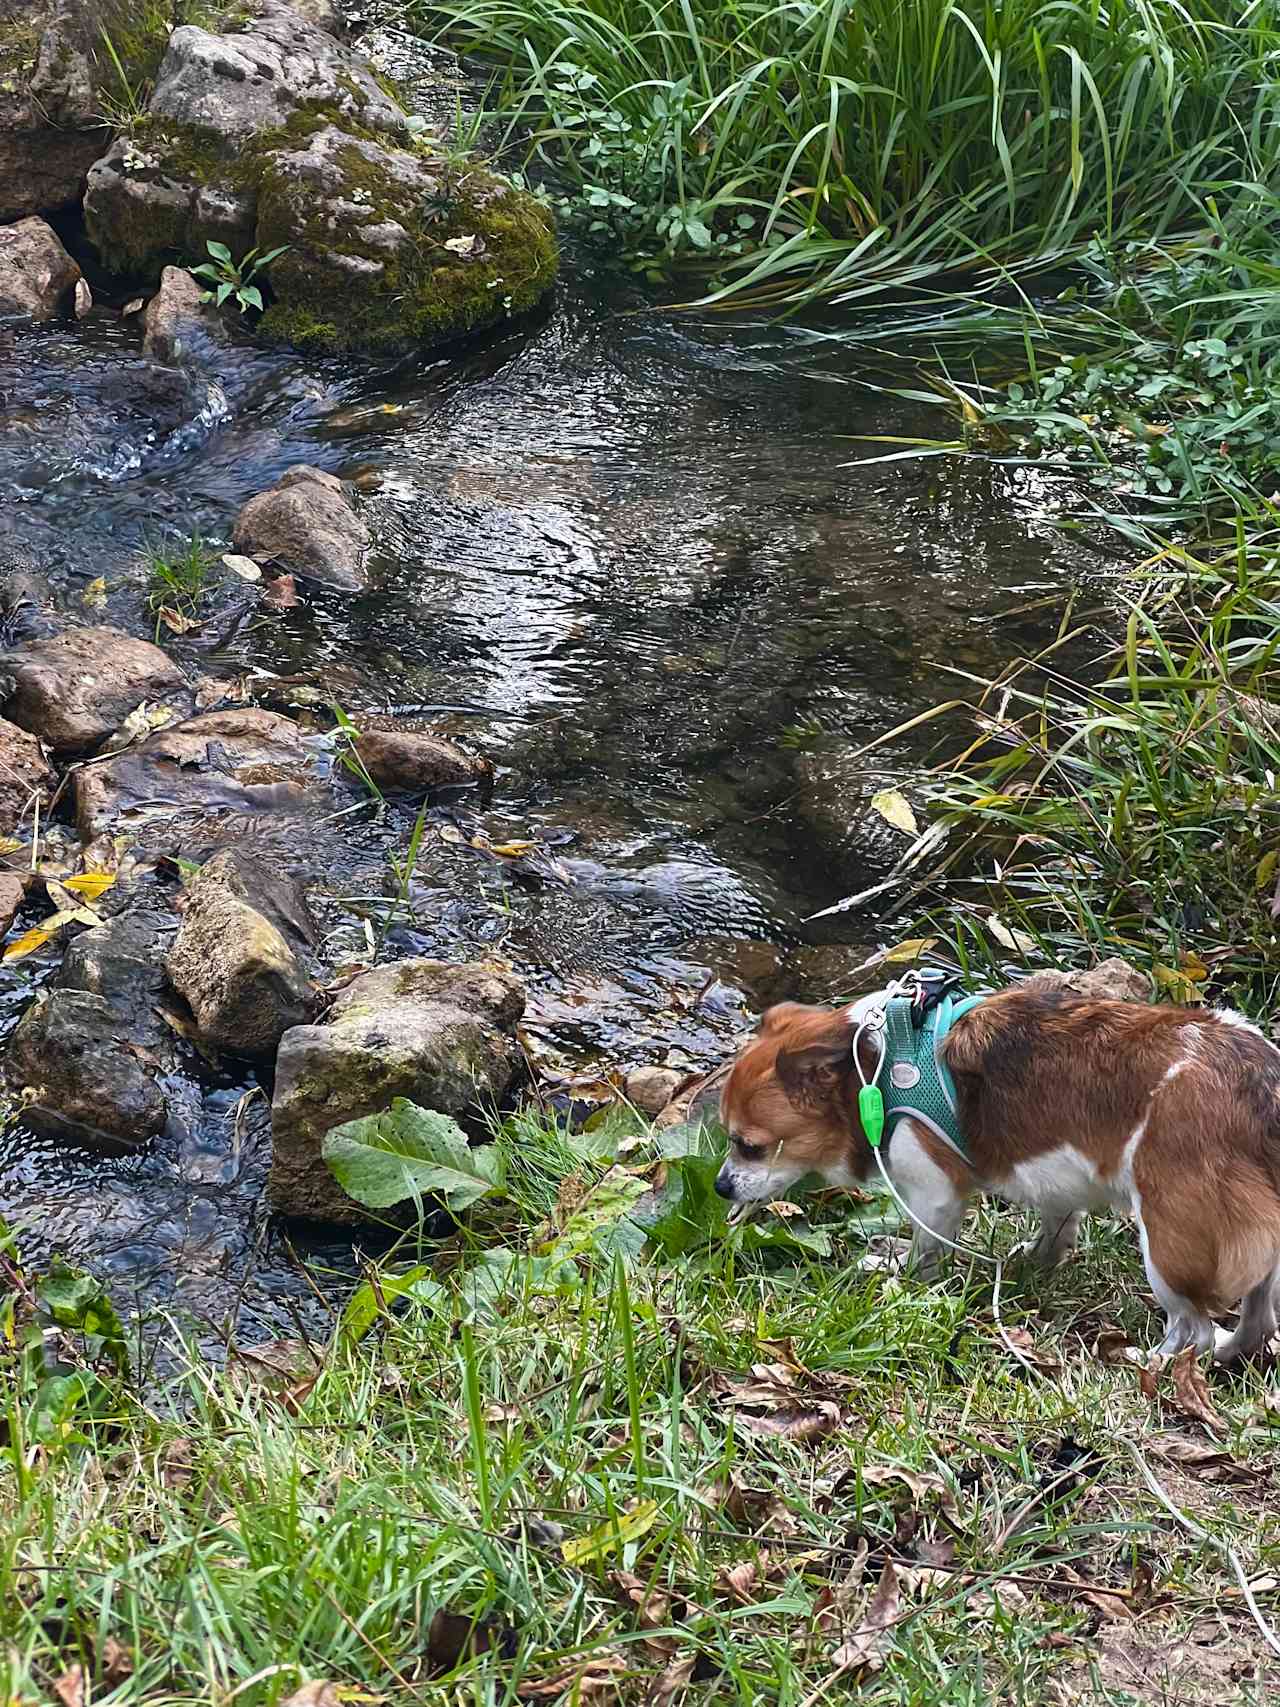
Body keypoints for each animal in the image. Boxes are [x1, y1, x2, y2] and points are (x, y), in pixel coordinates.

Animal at [716, 990, 1280, 1358]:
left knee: (1192, 1329)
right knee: (1257, 1319)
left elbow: (925, 1250)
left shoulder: (934, 1193)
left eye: (750, 1147)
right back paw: (1229, 1350)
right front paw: (1036, 1261)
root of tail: (1261, 1088)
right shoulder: (1056, 1185)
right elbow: (1057, 1228)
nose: (721, 1186)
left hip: (1167, 1241)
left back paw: (1155, 1362)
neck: (874, 1070)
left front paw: (904, 1282)